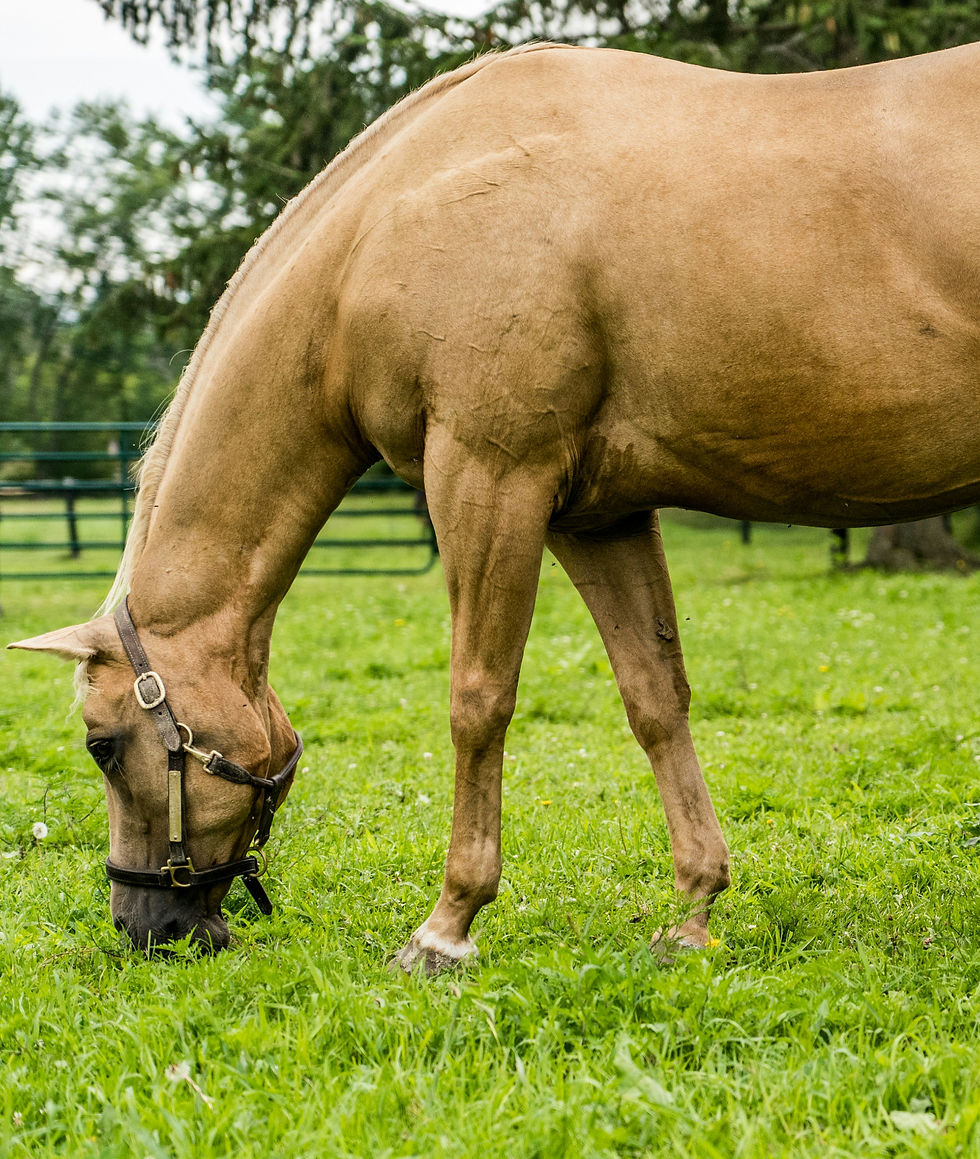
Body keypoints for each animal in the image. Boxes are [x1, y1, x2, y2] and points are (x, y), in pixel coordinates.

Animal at [9, 41, 980, 970]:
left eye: (101, 744)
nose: (145, 926)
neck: (397, 217)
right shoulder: (596, 517)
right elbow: (655, 698)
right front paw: (694, 911)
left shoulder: (489, 479)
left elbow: (478, 701)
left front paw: (447, 925)